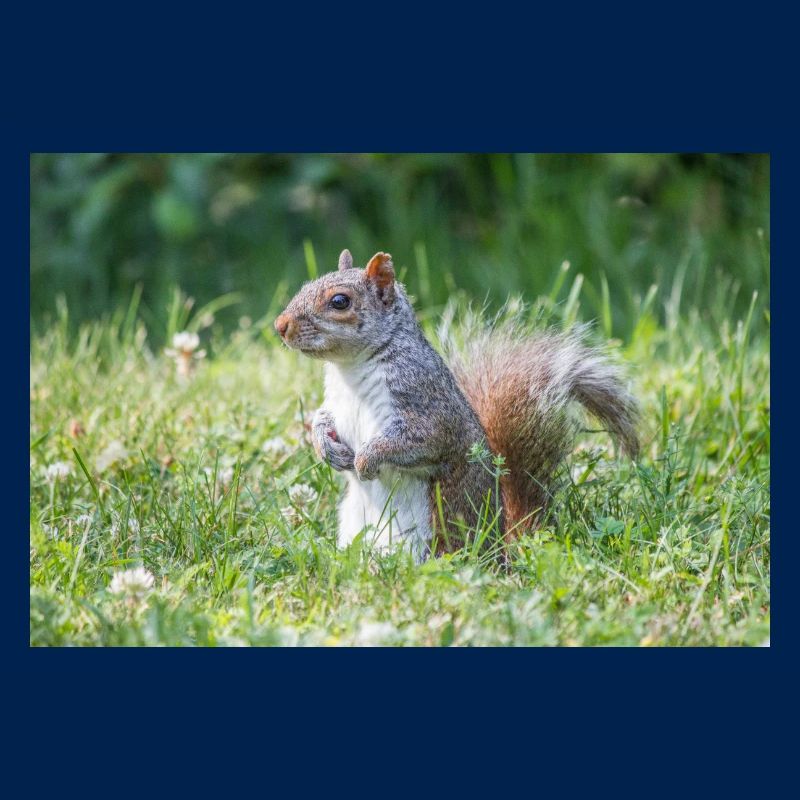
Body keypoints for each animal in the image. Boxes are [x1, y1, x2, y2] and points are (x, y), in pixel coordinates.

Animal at [275, 249, 639, 562]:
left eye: (340, 301)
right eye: (306, 285)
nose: (280, 325)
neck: (349, 369)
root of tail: (500, 549)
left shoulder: (427, 403)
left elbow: (420, 439)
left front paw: (366, 460)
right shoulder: (335, 402)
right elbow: (322, 418)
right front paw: (325, 447)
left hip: (429, 541)